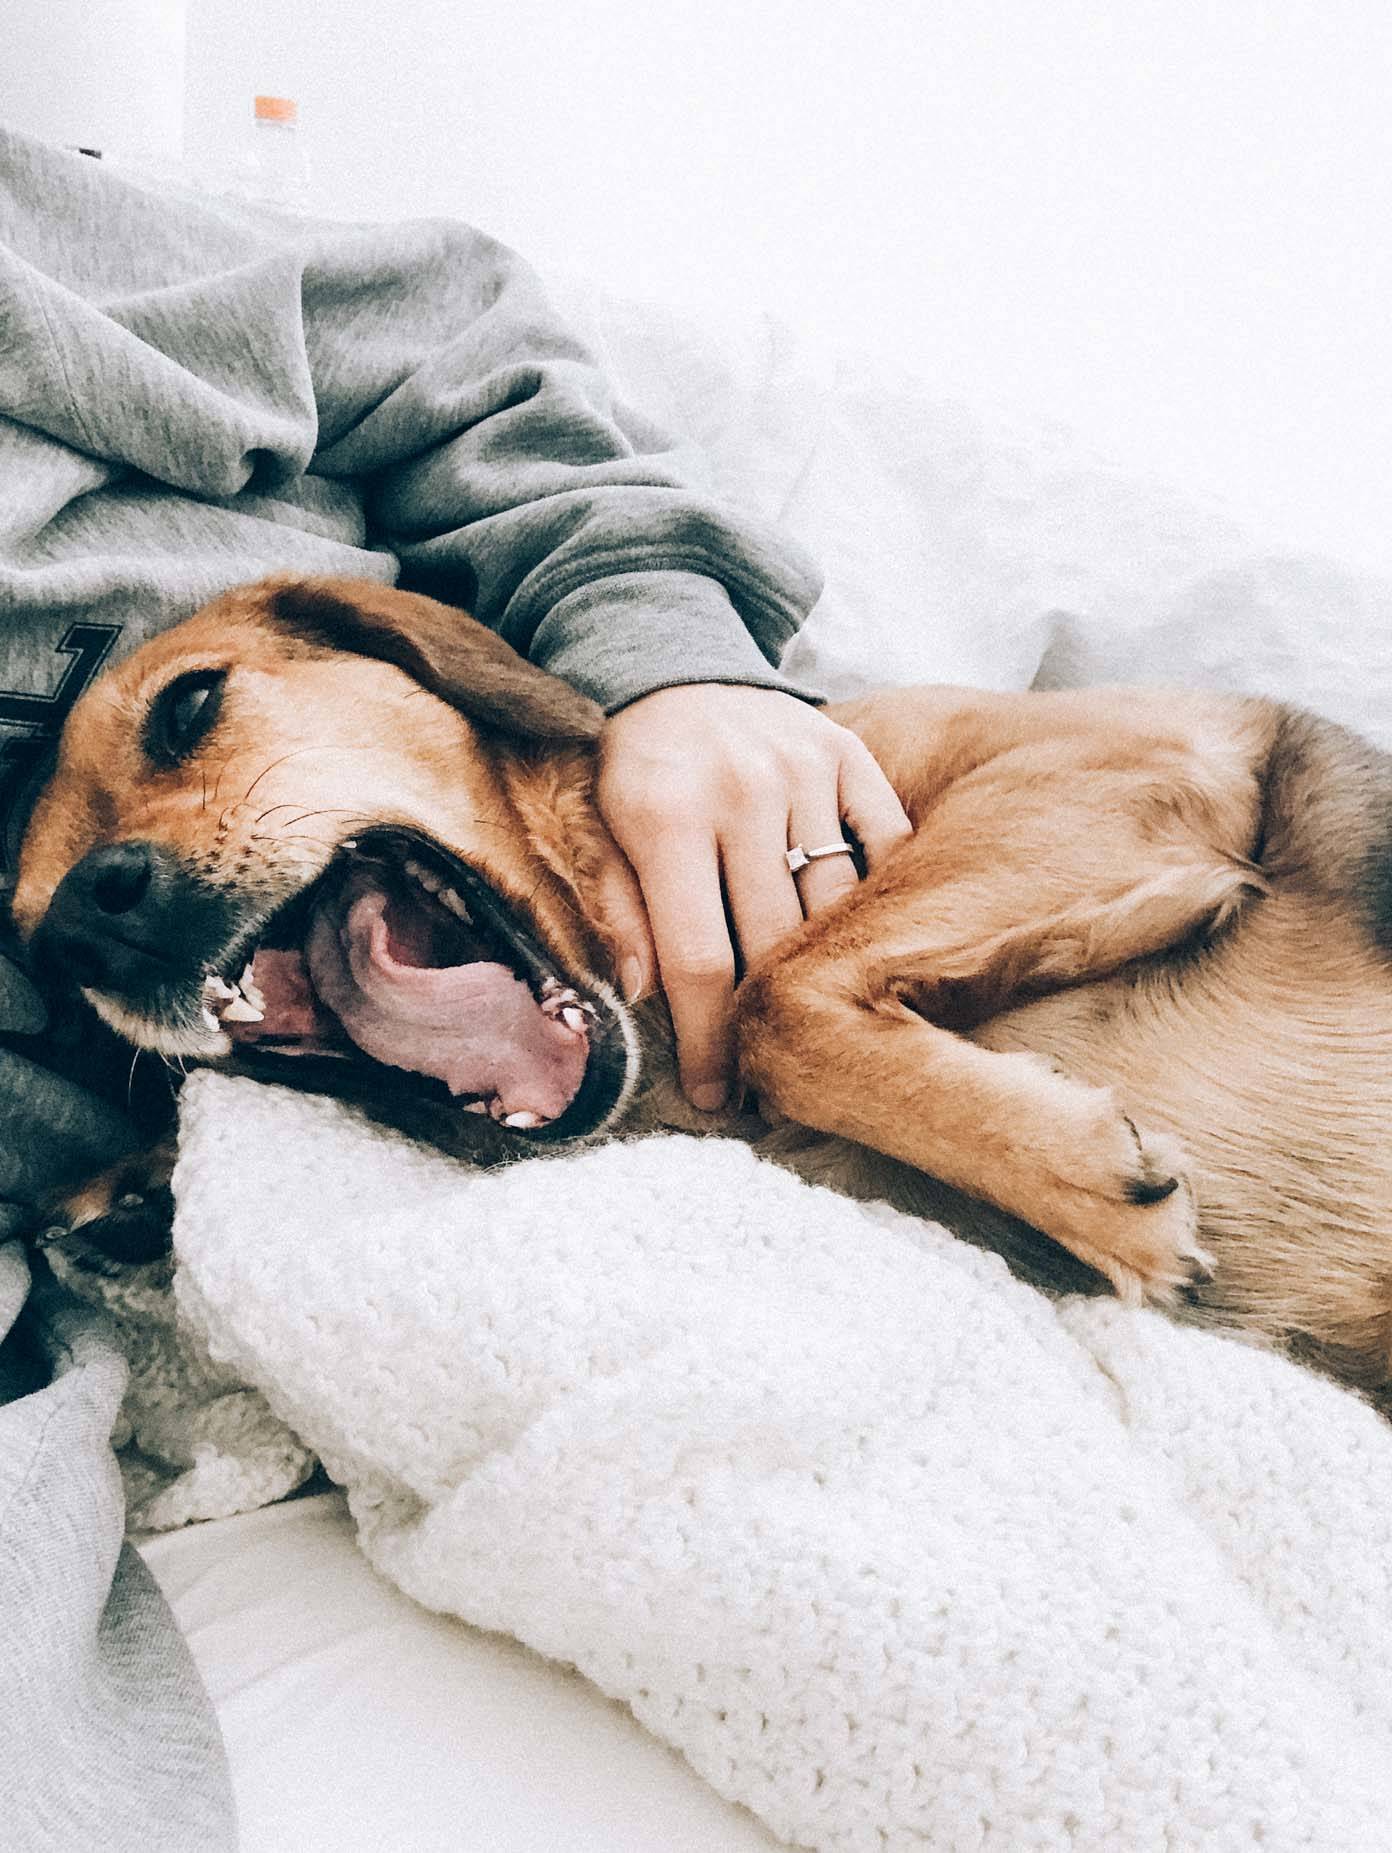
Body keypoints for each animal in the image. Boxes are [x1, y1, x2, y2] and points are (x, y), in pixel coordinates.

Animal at [10, 570, 1392, 1408]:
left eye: (189, 703)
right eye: (34, 953)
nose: (88, 921)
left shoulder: (1122, 760)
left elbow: (781, 995)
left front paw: (1093, 1185)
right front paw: (129, 1190)